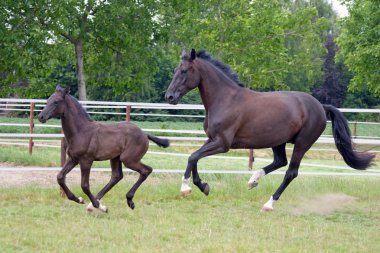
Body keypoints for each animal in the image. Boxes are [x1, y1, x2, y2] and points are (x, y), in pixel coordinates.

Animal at [166, 49, 374, 211]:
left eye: (184, 71)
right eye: (176, 70)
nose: (169, 96)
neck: (226, 99)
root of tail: (321, 107)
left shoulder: (223, 144)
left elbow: (193, 157)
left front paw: (186, 189)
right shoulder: (212, 139)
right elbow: (194, 157)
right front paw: (203, 186)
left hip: (302, 143)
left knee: (291, 172)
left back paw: (268, 204)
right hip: (278, 141)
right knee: (280, 162)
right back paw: (253, 180)